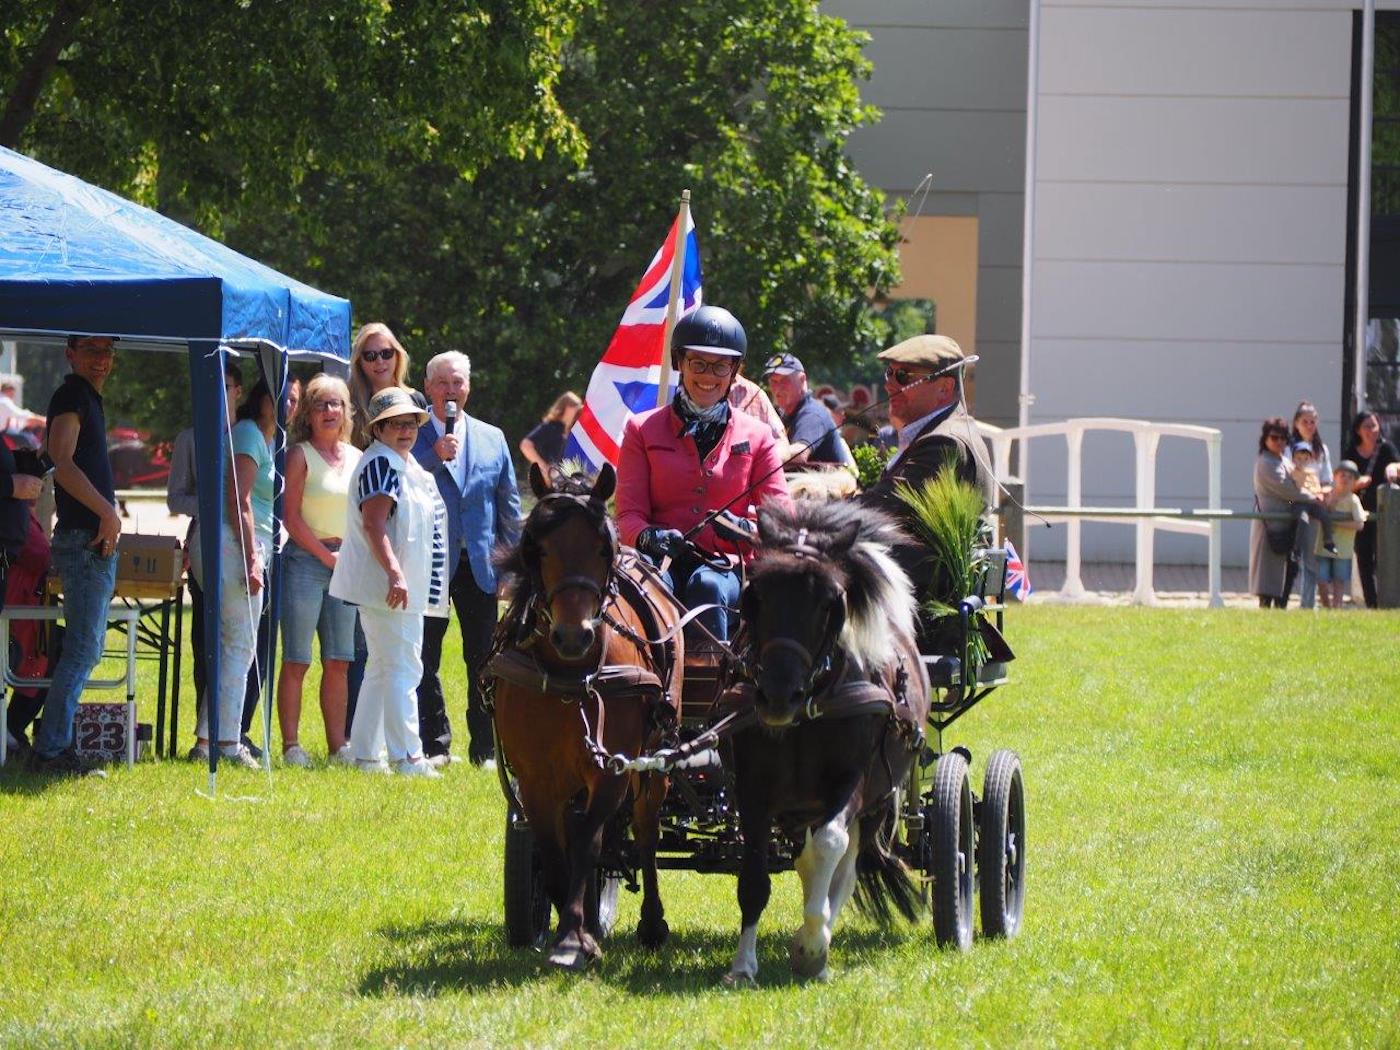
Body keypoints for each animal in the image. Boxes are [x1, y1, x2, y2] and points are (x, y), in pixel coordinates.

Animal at [722, 501, 929, 985]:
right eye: (754, 595)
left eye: (830, 602)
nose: (778, 695)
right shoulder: (753, 788)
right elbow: (754, 877)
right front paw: (742, 966)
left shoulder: (853, 782)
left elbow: (831, 846)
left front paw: (813, 947)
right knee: (809, 858)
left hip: (877, 802)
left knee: (844, 861)